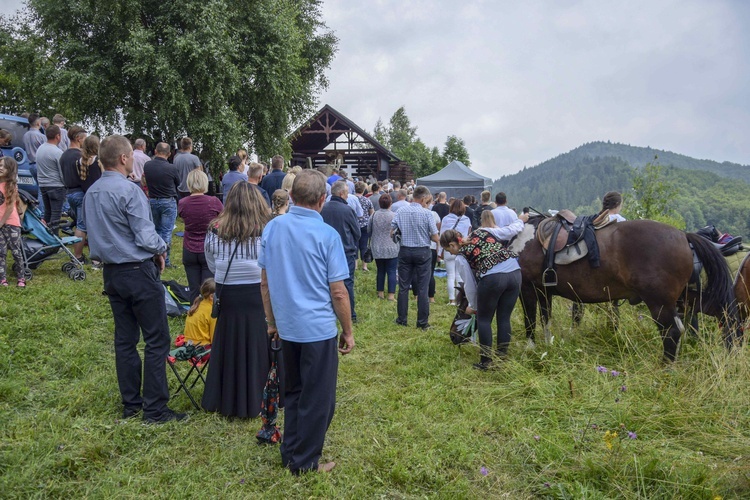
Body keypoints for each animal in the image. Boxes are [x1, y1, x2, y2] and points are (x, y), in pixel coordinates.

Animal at [508, 217, 744, 362]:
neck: (527, 239)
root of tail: (683, 236)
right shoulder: (543, 291)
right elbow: (545, 319)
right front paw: (547, 346)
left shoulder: (527, 289)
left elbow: (530, 321)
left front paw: (530, 348)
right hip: (689, 298)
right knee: (726, 317)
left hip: (660, 303)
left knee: (672, 332)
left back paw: (665, 367)